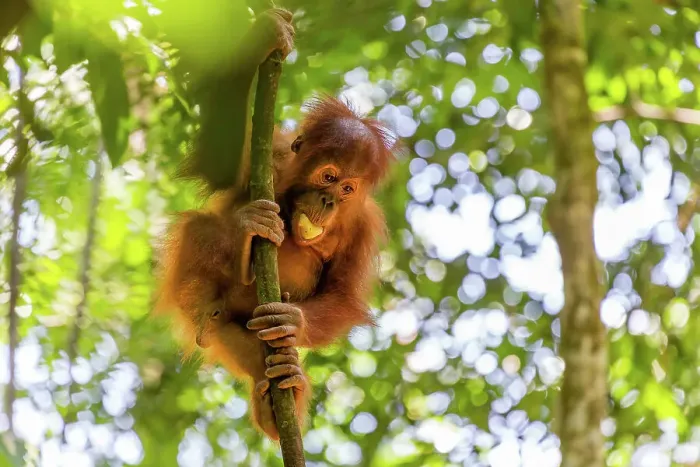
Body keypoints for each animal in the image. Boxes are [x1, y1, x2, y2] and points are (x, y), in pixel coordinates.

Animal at [154, 7, 399, 440]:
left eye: (348, 189)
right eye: (329, 176)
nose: (328, 201)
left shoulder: (364, 227)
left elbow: (343, 294)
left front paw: (293, 321)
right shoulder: (275, 153)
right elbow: (219, 164)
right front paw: (261, 39)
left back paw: (281, 385)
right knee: (199, 230)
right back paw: (238, 259)